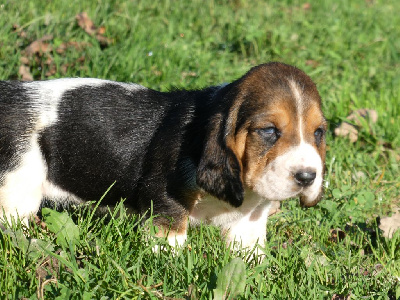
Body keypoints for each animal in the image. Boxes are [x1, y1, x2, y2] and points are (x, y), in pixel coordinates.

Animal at [0, 62, 324, 248]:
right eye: (269, 131)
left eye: (319, 133)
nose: (308, 177)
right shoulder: (167, 196)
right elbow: (172, 236)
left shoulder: (250, 222)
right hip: (17, 188)